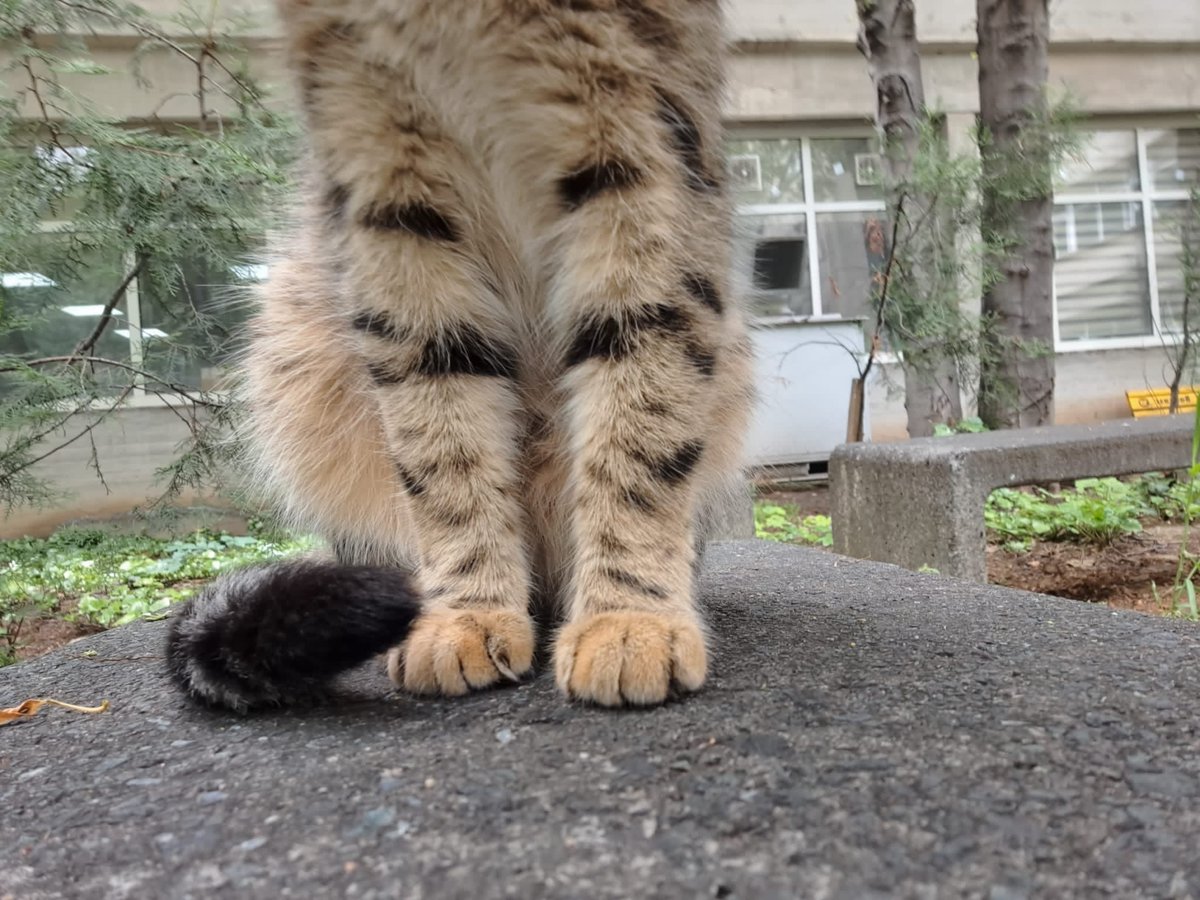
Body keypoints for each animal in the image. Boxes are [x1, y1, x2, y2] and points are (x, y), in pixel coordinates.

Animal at [166, 0, 748, 715]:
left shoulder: (652, 147)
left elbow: (640, 430)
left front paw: (630, 617)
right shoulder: (383, 179)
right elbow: (442, 447)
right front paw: (464, 613)